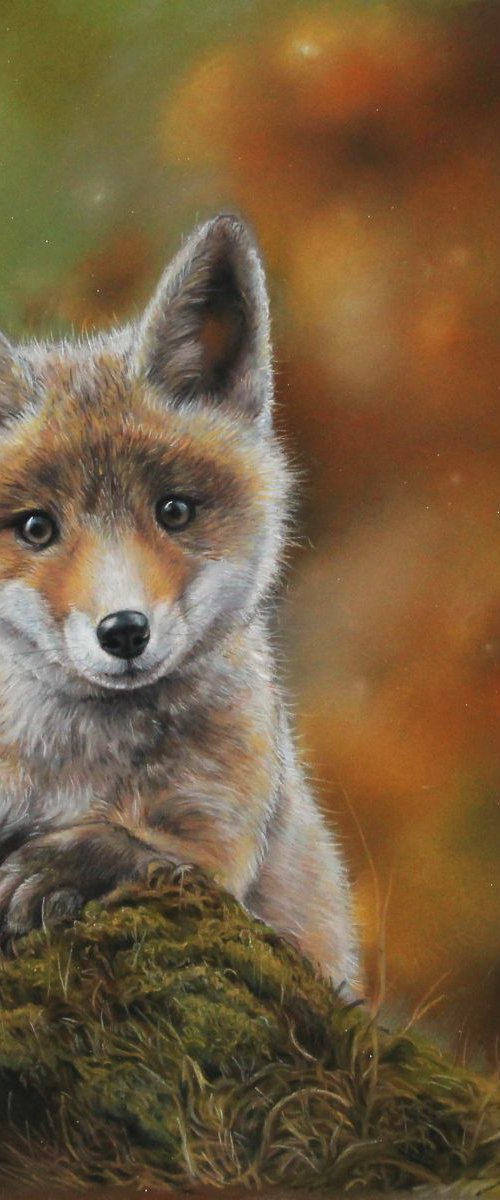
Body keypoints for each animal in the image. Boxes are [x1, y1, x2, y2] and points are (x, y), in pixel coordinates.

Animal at [0, 214, 359, 991]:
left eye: (174, 511)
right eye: (36, 528)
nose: (124, 631)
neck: (79, 769)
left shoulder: (221, 843)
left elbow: (143, 851)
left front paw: (54, 867)